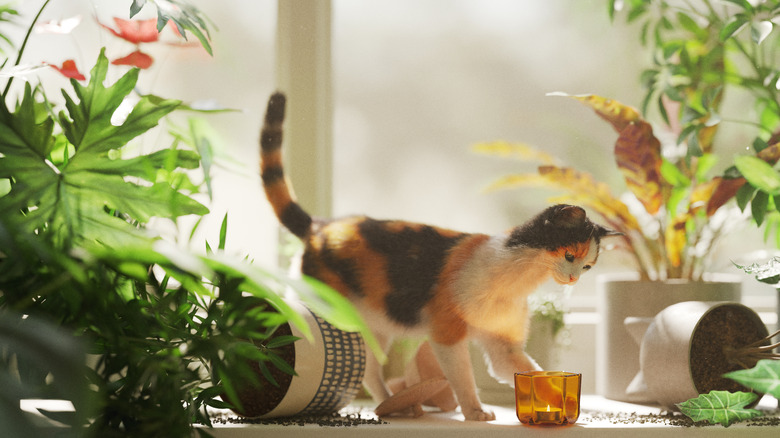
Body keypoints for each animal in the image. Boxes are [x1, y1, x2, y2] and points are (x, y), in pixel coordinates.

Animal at [258, 92, 620, 420]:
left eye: (588, 266)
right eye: (570, 255)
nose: (573, 278)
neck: (516, 280)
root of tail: (319, 226)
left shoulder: (503, 344)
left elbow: (528, 371)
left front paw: (560, 400)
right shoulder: (447, 333)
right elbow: (461, 376)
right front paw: (474, 411)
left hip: (375, 326)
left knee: (370, 369)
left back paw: (395, 405)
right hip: (334, 311)